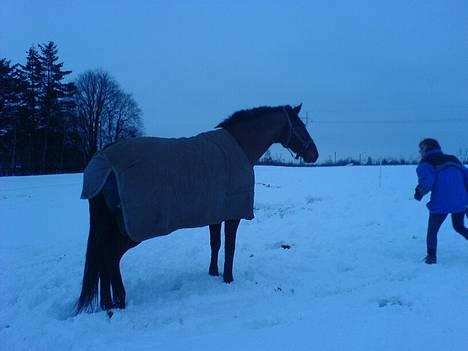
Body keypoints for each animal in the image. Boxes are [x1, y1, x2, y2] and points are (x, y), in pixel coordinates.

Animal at [76, 104, 318, 314]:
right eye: (300, 126)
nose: (314, 154)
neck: (240, 146)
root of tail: (103, 159)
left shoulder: (216, 213)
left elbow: (215, 244)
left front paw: (213, 273)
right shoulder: (233, 215)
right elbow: (229, 247)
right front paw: (228, 279)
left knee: (103, 256)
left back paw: (106, 302)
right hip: (130, 229)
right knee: (111, 255)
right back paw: (119, 300)